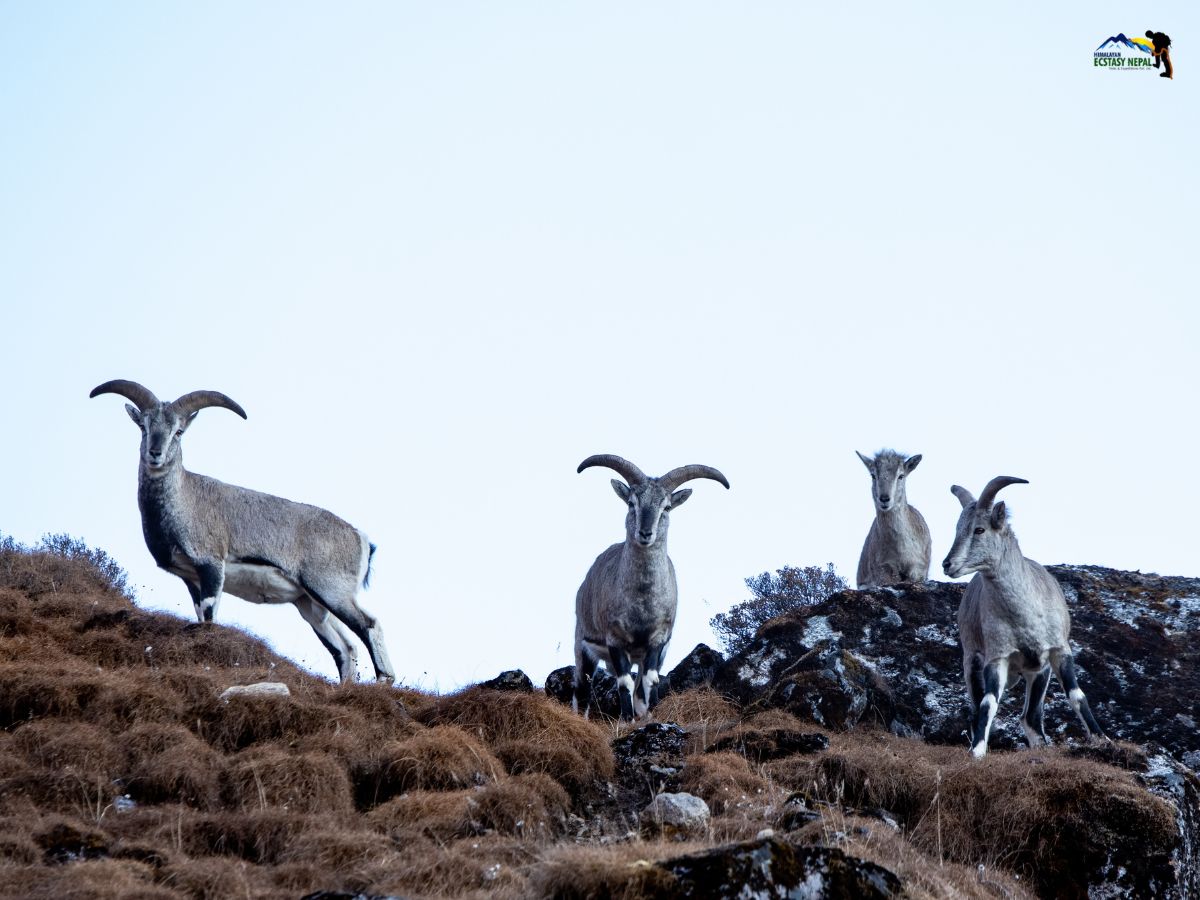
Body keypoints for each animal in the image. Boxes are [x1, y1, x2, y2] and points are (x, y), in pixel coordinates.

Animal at [90, 379, 394, 684]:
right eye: (144, 426)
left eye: (178, 431)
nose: (155, 454)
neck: (184, 499)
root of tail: (361, 540)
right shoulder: (191, 578)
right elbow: (199, 613)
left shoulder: (211, 564)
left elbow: (210, 614)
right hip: (310, 604)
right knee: (344, 648)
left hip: (330, 589)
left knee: (369, 625)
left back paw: (383, 680)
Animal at [573, 454, 729, 721]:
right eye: (631, 503)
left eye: (665, 507)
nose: (645, 533)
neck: (642, 603)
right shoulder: (615, 639)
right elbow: (624, 682)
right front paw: (626, 720)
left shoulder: (658, 641)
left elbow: (650, 680)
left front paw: (654, 714)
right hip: (583, 647)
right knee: (583, 689)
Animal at [942, 476, 1104, 757]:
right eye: (958, 528)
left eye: (979, 529)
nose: (947, 564)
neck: (1025, 617)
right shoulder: (997, 657)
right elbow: (988, 704)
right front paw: (977, 751)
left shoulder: (1058, 650)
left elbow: (1077, 695)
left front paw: (1102, 739)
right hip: (972, 661)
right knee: (979, 710)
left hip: (1038, 672)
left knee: (1030, 717)